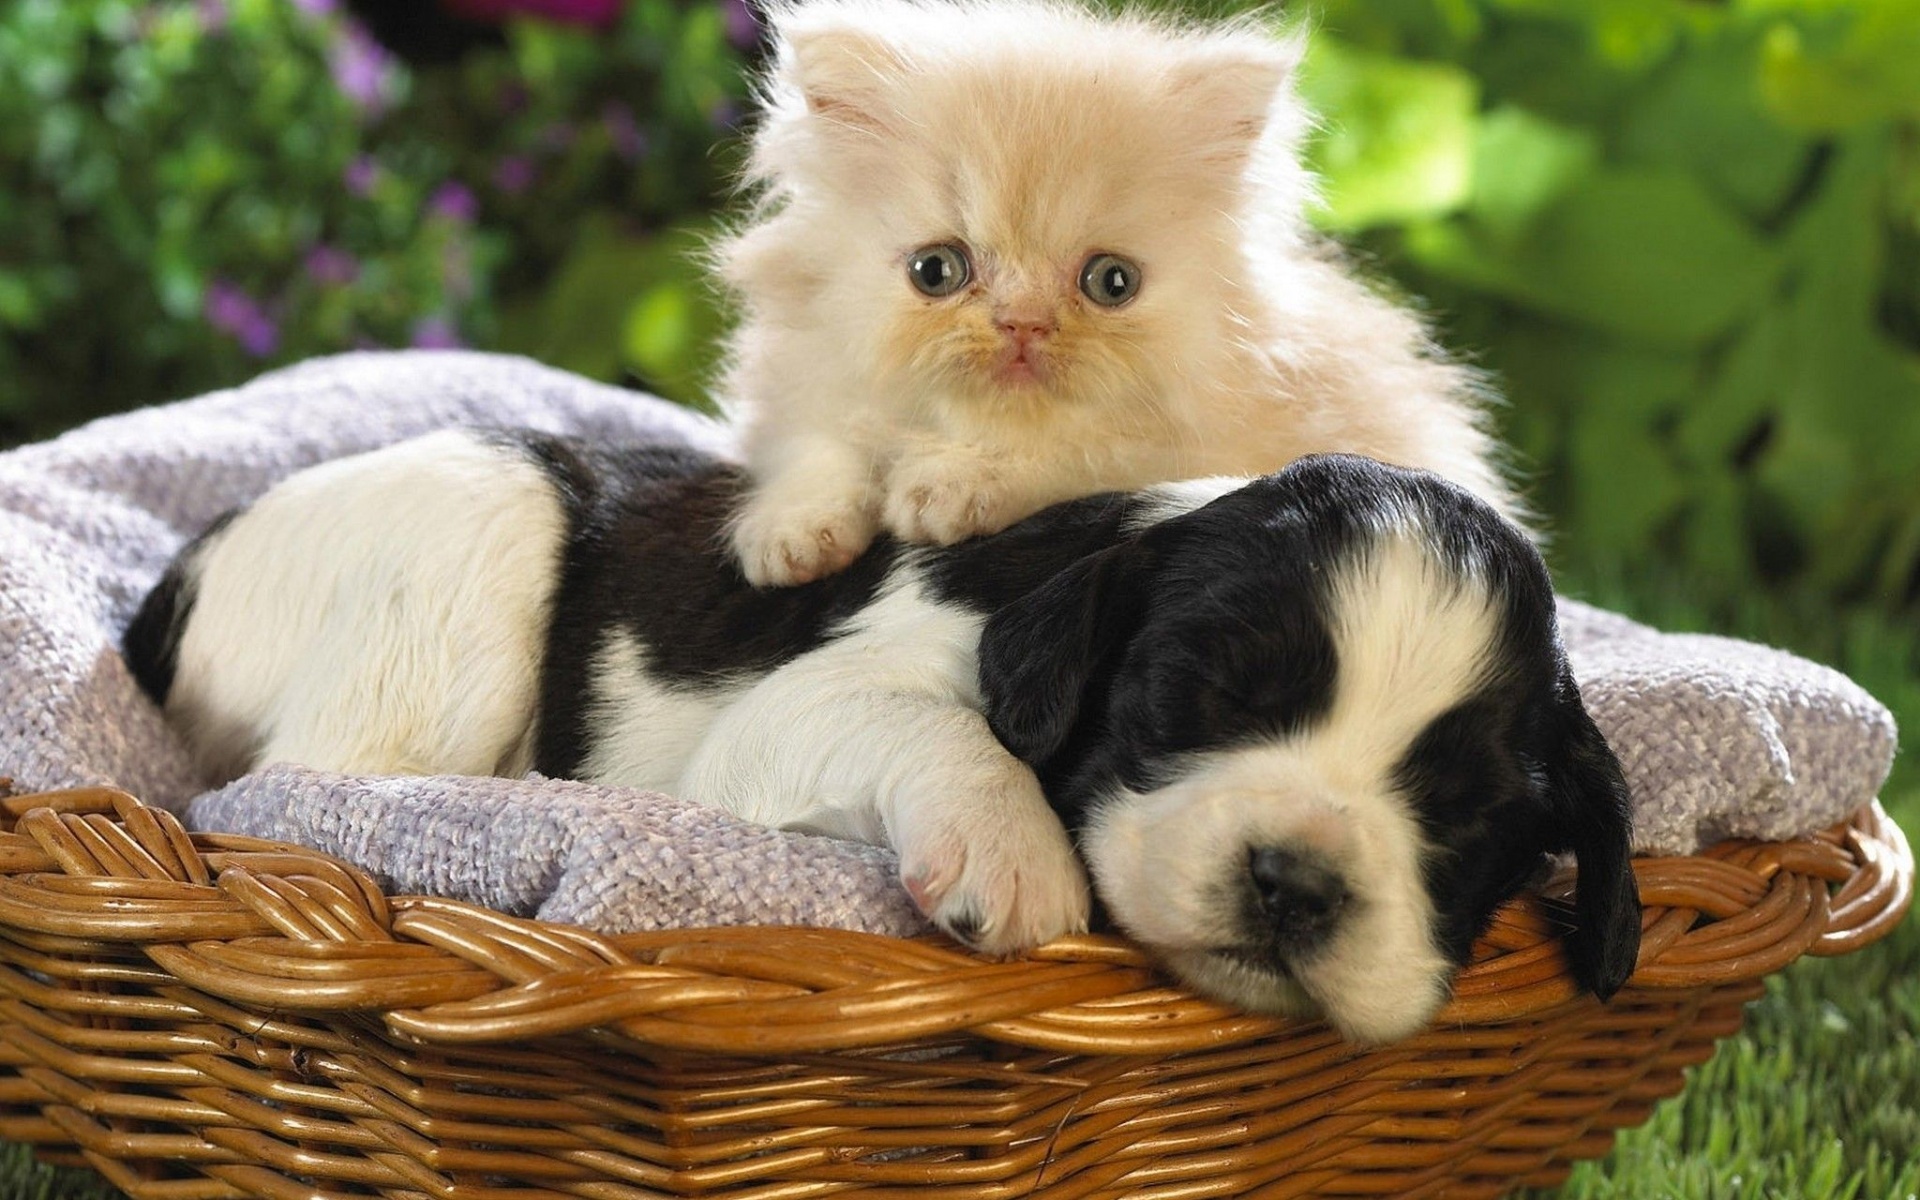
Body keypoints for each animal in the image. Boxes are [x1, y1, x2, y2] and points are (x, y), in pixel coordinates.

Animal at [127, 435, 1643, 1044]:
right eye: (1198, 701)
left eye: (1464, 814)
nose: (1295, 882)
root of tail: (180, 570)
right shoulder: (802, 712)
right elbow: (937, 727)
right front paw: (1013, 853)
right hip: (471, 534)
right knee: (302, 782)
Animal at [721, 0, 1512, 583]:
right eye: (936, 272)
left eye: (1111, 283)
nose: (1023, 323)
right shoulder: (802, 382)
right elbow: (817, 444)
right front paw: (791, 533)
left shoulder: (1193, 454)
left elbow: (1078, 451)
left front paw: (949, 487)